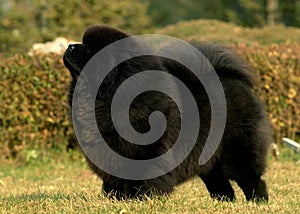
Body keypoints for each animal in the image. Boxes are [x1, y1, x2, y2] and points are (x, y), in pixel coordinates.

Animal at [63, 25, 272, 202]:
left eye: (89, 48)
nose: (70, 45)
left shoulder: (147, 151)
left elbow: (144, 176)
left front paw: (141, 198)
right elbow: (113, 178)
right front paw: (116, 198)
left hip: (237, 149)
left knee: (251, 177)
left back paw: (258, 201)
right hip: (210, 159)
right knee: (220, 183)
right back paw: (224, 202)